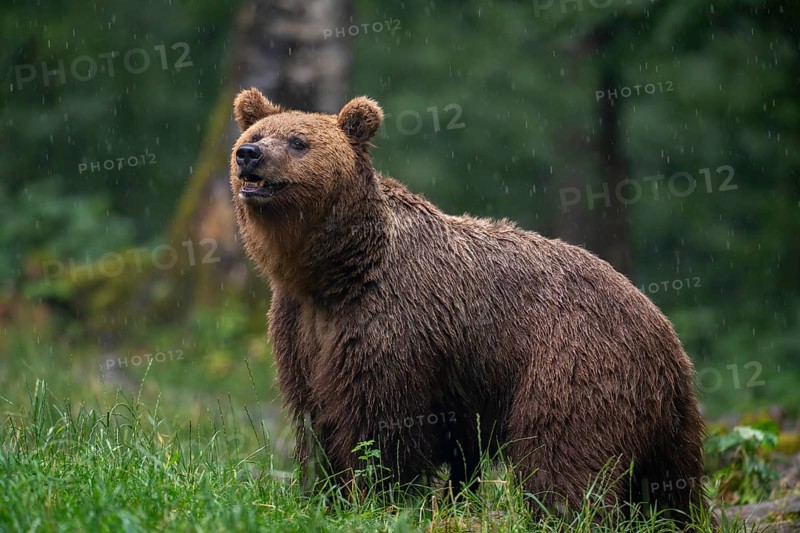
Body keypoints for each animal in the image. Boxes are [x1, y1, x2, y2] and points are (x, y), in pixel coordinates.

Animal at [229, 87, 707, 521]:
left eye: (298, 141)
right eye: (256, 132)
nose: (248, 155)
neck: (336, 272)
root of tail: (664, 332)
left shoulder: (390, 321)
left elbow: (379, 419)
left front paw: (379, 496)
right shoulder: (301, 327)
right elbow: (314, 415)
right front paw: (323, 491)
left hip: (575, 360)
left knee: (562, 449)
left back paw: (561, 513)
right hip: (666, 415)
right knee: (670, 478)